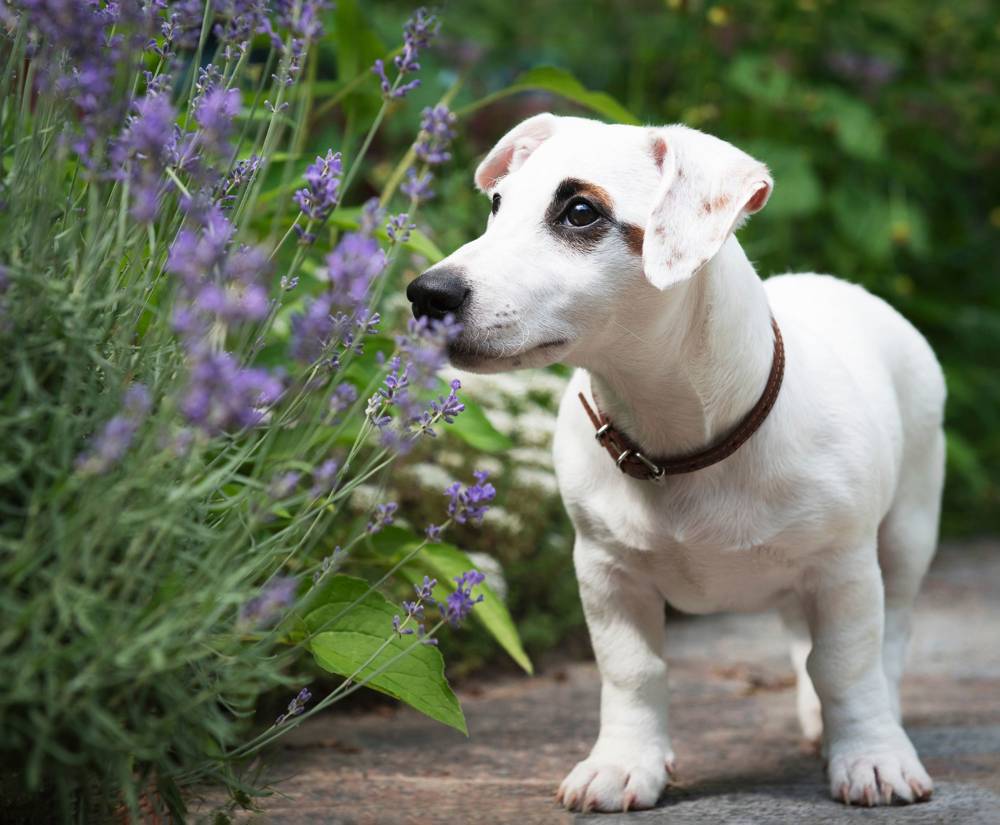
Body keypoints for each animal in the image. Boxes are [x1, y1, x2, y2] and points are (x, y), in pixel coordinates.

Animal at [406, 114, 944, 812]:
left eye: (580, 212)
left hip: (906, 531)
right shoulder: (606, 572)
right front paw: (623, 763)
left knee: (892, 634)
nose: (426, 294)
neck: (679, 442)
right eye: (497, 205)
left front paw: (870, 756)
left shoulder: (843, 569)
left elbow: (849, 665)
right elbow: (632, 670)